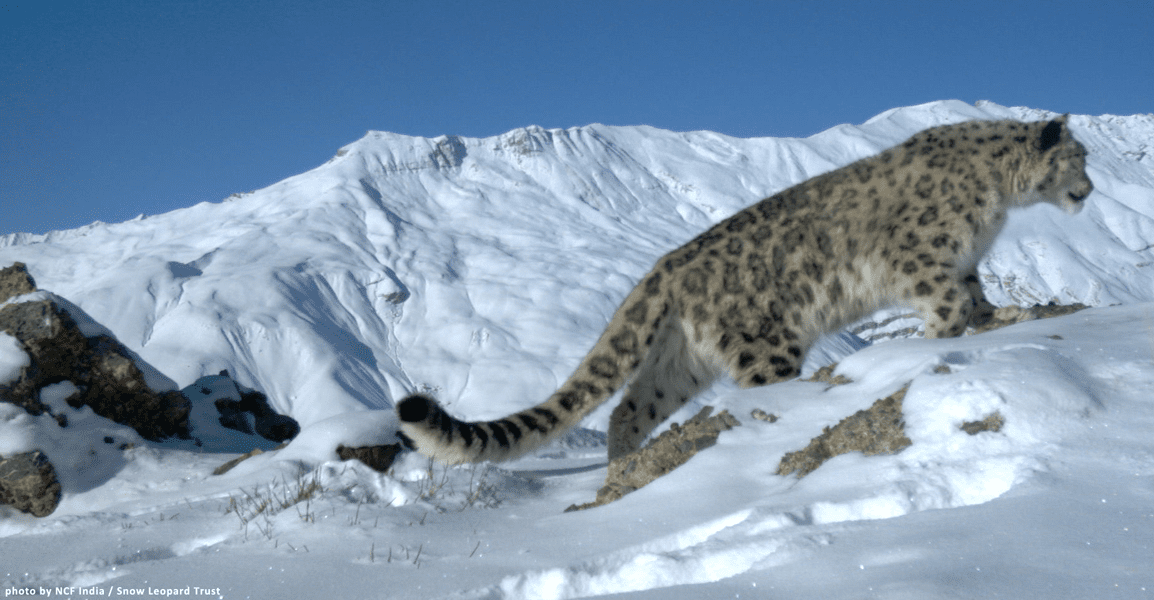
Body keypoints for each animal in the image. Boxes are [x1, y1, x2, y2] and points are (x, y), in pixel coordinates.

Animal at [394, 115, 1089, 463]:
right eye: (1077, 157)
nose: (1089, 189)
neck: (997, 201)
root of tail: (665, 268)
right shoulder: (921, 257)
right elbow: (948, 307)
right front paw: (946, 340)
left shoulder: (963, 261)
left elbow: (976, 297)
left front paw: (1005, 316)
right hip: (765, 342)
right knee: (754, 390)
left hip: (679, 362)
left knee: (628, 408)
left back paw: (620, 465)